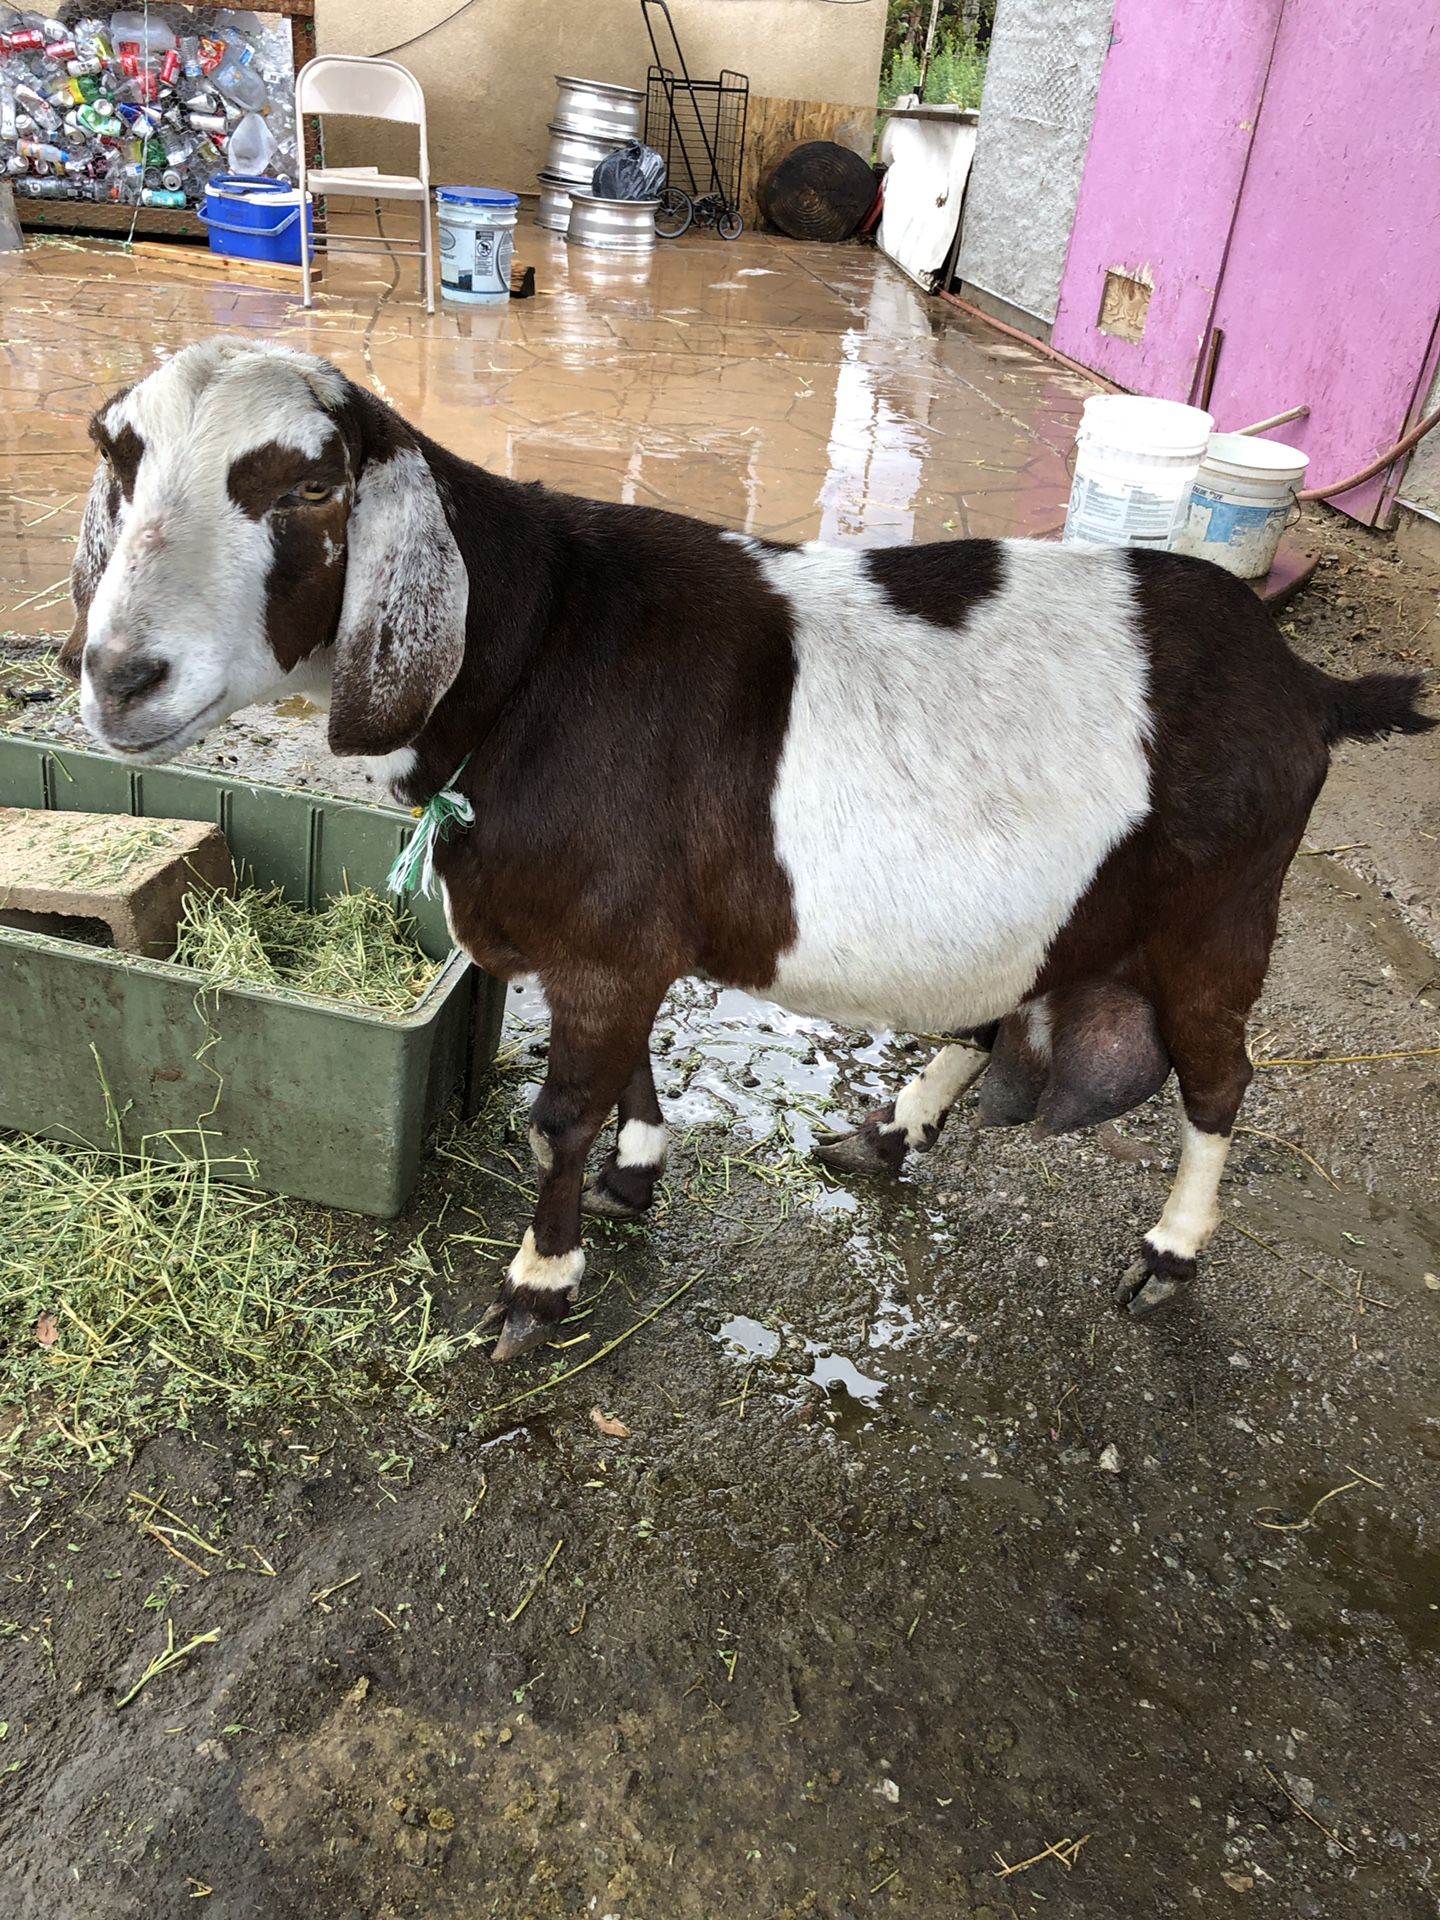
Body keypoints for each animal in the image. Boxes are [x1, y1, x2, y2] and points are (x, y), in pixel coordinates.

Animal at [64, 349, 1436, 1367]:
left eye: (306, 489)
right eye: (116, 454)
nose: (120, 674)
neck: (534, 653)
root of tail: (1311, 688)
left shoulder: (608, 944)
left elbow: (559, 1115)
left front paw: (536, 1285)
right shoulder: (612, 949)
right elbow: (617, 1082)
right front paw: (635, 1179)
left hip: (1220, 913)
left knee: (1219, 1083)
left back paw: (1168, 1255)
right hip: (1045, 913)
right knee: (991, 1018)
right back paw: (888, 1138)